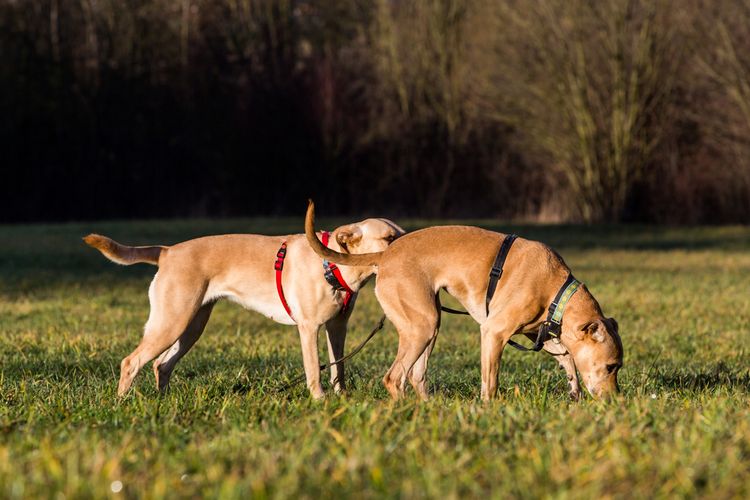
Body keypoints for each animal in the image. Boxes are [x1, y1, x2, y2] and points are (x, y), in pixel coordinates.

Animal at [83, 218, 406, 398]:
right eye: (389, 238)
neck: (333, 263)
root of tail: (168, 251)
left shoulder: (337, 327)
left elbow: (338, 366)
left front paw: (341, 397)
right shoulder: (309, 328)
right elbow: (314, 369)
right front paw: (319, 399)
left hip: (191, 326)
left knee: (161, 364)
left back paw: (162, 404)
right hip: (171, 322)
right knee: (131, 362)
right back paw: (122, 404)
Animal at [304, 201, 624, 400]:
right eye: (611, 367)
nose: (615, 402)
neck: (558, 290)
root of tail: (385, 254)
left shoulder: (541, 334)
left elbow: (568, 359)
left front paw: (575, 392)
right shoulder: (494, 332)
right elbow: (490, 381)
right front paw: (488, 409)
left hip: (429, 324)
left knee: (416, 376)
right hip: (423, 325)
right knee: (395, 378)